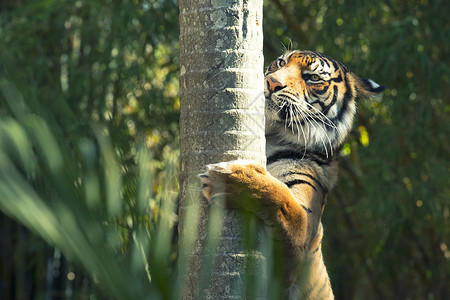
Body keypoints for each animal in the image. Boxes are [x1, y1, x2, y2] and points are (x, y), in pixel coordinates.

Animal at [199, 50, 384, 298]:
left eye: (313, 78)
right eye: (280, 63)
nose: (272, 82)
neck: (272, 133)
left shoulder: (300, 240)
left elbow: (281, 199)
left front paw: (227, 178)